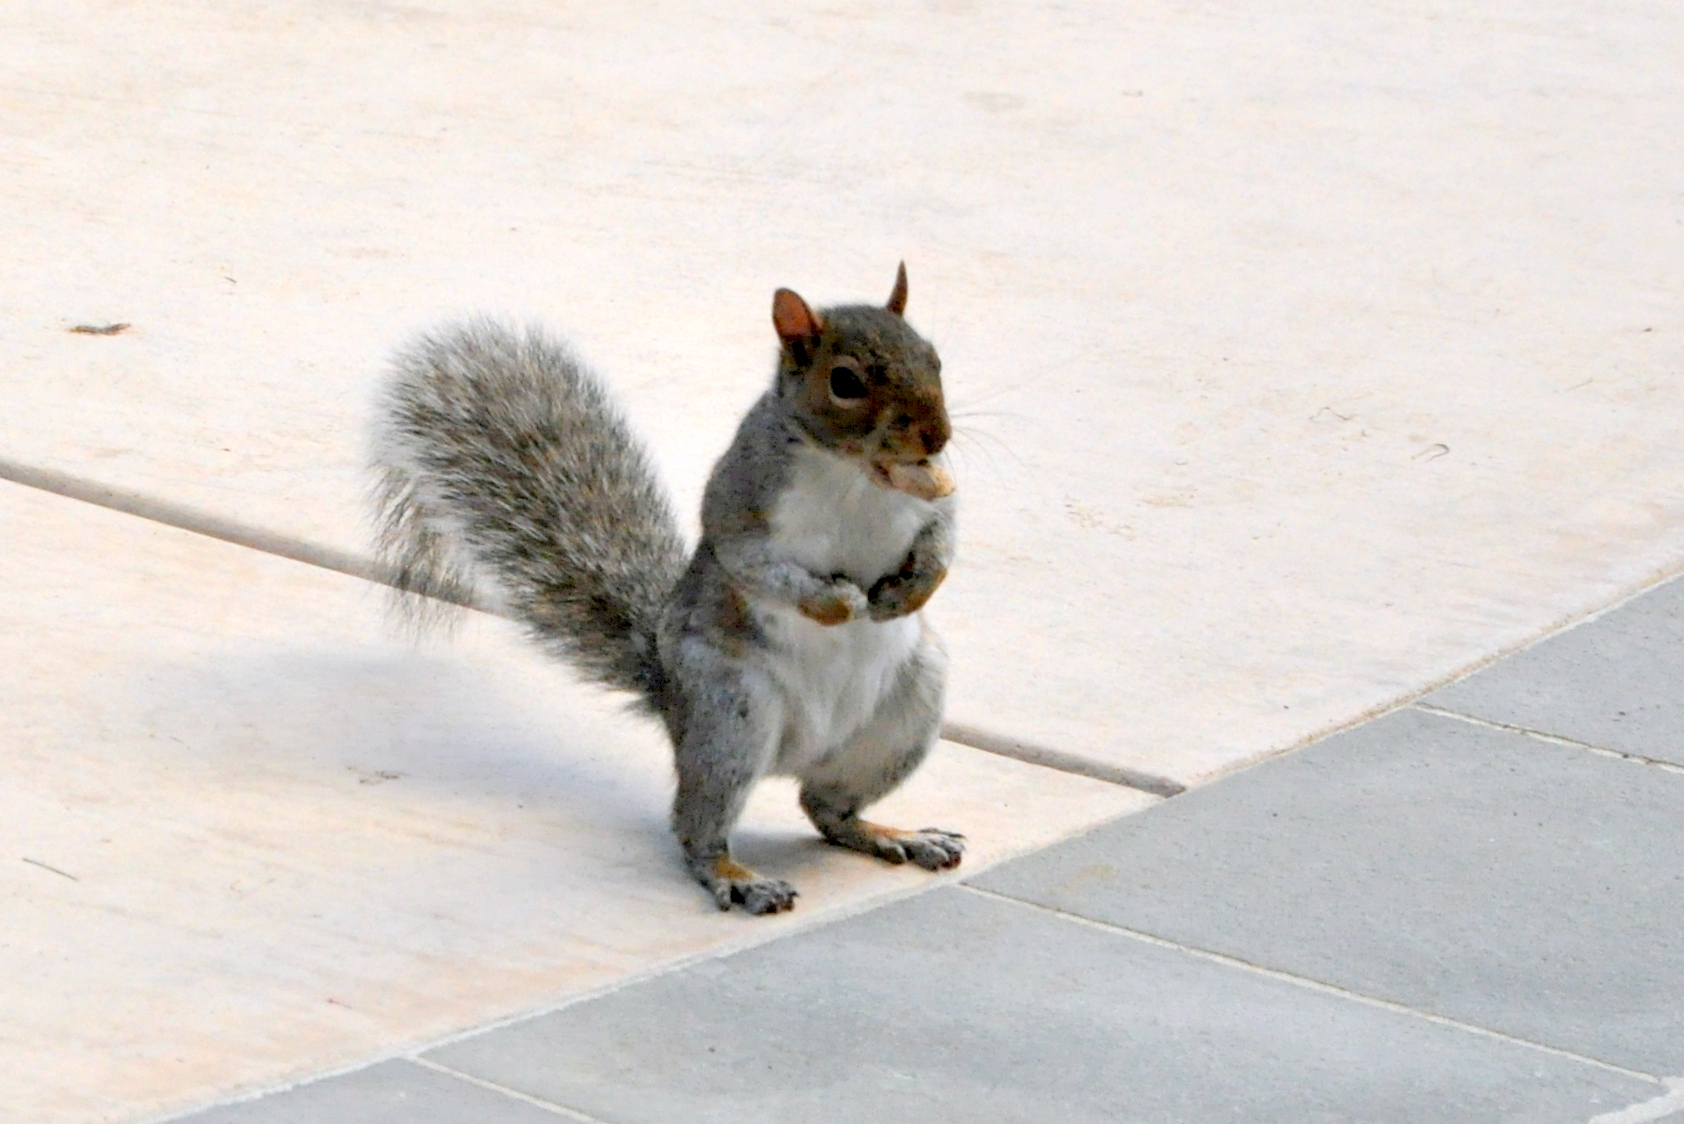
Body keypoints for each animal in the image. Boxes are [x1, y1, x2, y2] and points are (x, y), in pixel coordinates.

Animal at [370, 264, 964, 914]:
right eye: (846, 382)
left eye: (934, 358)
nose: (936, 436)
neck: (855, 473)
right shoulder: (740, 500)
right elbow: (752, 562)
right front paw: (835, 602)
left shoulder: (936, 493)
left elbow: (943, 536)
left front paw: (909, 592)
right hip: (730, 713)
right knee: (697, 826)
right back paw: (736, 875)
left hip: (908, 709)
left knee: (827, 809)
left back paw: (895, 834)